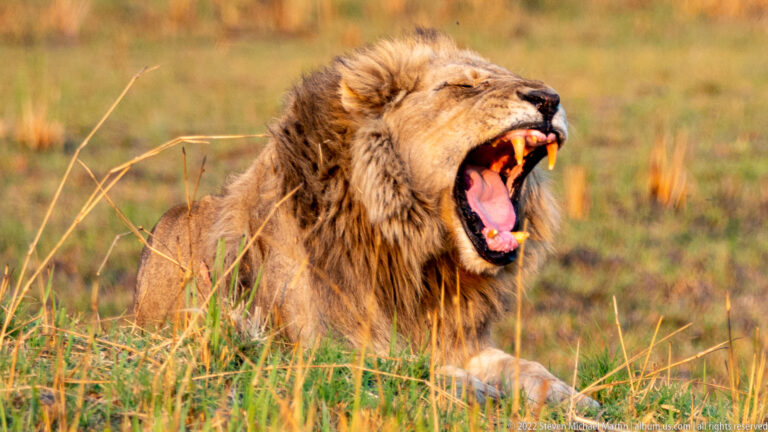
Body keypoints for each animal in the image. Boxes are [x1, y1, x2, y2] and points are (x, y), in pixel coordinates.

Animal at [134, 29, 597, 409]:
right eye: (464, 86)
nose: (549, 100)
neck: (417, 259)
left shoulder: (457, 338)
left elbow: (523, 365)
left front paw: (570, 395)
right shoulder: (301, 345)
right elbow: (393, 365)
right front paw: (467, 386)